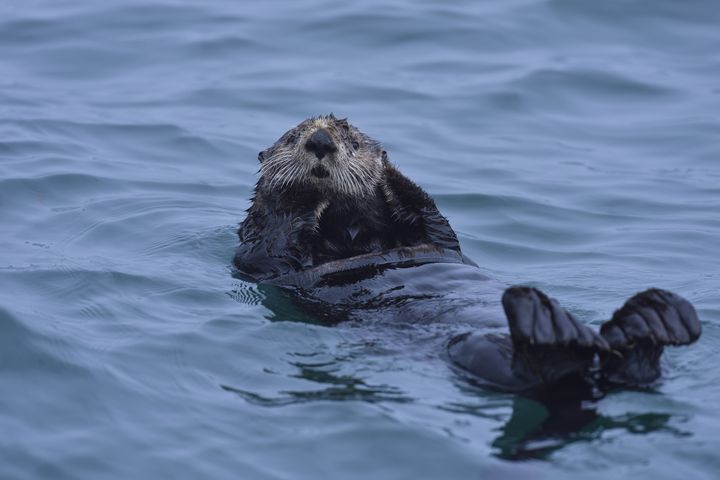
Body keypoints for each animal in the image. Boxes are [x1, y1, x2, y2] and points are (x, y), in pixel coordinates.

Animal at [235, 116, 696, 394]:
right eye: (292, 137)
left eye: (351, 138)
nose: (320, 141)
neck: (349, 236)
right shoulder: (261, 257)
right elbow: (272, 241)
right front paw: (299, 190)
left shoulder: (436, 237)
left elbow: (428, 212)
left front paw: (384, 167)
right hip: (477, 352)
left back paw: (653, 317)